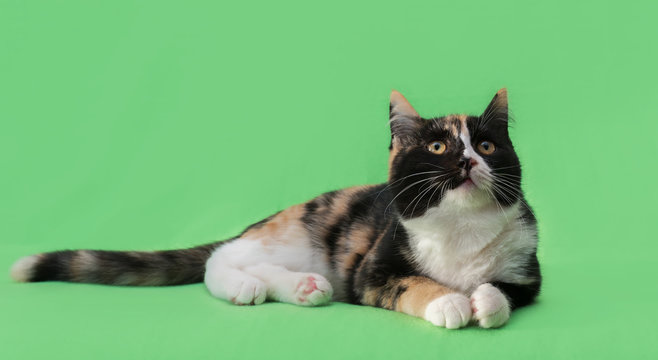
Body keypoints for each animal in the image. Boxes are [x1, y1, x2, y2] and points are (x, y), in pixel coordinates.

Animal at [9, 88, 540, 330]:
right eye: (437, 147)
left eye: (487, 146)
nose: (469, 160)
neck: (460, 228)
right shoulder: (373, 267)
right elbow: (407, 282)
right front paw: (447, 300)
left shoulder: (528, 269)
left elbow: (507, 290)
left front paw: (485, 301)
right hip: (298, 233)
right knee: (221, 257)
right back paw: (246, 284)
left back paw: (304, 288)